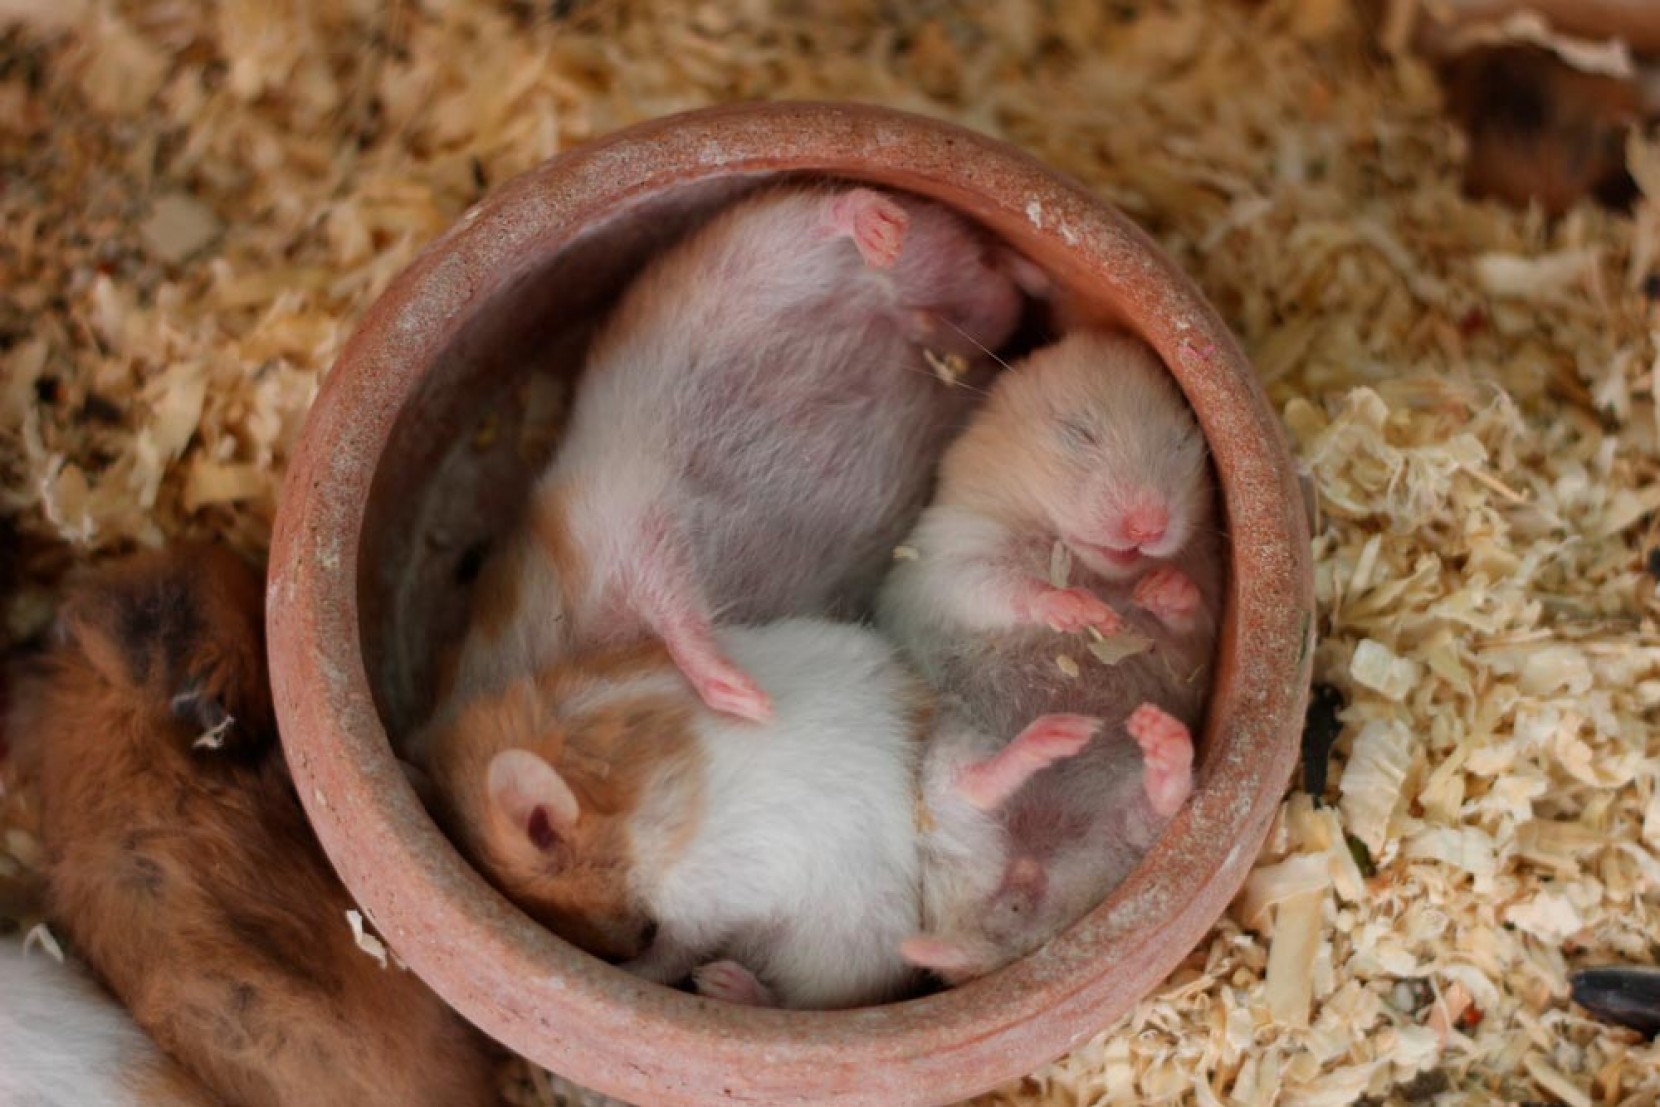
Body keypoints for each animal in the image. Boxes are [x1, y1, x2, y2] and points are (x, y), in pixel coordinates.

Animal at [424, 183, 1034, 741]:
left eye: (470, 565)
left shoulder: (627, 527)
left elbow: (682, 620)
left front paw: (749, 701)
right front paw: (751, 699)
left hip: (773, 246)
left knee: (843, 226)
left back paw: (877, 228)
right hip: (934, 294)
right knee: (995, 308)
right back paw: (933, 309)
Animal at [877, 328, 1225, 982]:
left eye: (1182, 441)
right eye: (1077, 432)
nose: (1148, 526)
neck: (1094, 565)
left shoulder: (1197, 636)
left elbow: (1184, 620)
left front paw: (1159, 591)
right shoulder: (956, 555)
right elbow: (1010, 587)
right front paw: (1080, 611)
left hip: (1113, 842)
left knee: (1149, 812)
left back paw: (1159, 742)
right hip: (949, 752)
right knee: (973, 787)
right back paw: (1053, 737)